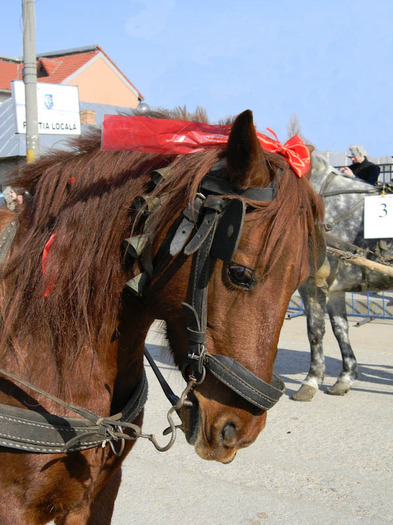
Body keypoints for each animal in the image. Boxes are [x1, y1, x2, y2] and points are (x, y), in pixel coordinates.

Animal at [292, 152, 390, 402]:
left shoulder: (312, 285)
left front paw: (311, 380)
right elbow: (340, 330)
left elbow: (315, 331)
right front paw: (345, 377)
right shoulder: (335, 290)